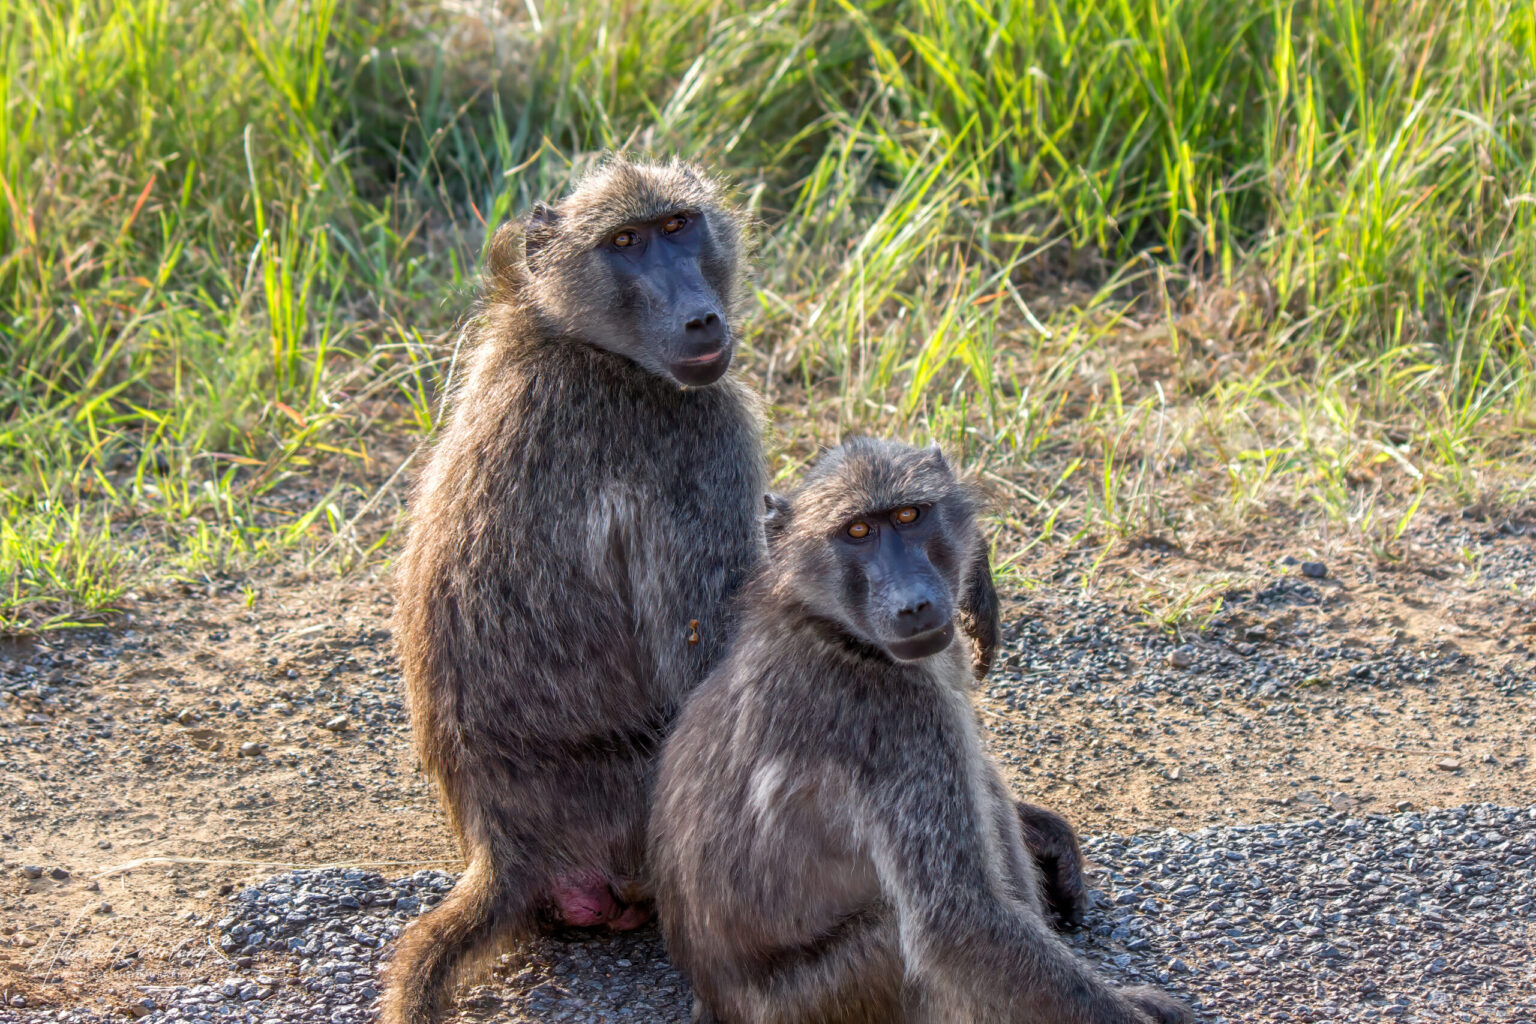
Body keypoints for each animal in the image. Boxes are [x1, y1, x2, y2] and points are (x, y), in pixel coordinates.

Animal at [649, 438, 1193, 1024]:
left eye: (909, 516)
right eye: (857, 532)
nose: (913, 603)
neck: (833, 630)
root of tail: (712, 995)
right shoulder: (894, 720)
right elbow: (960, 921)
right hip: (825, 999)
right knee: (904, 931)